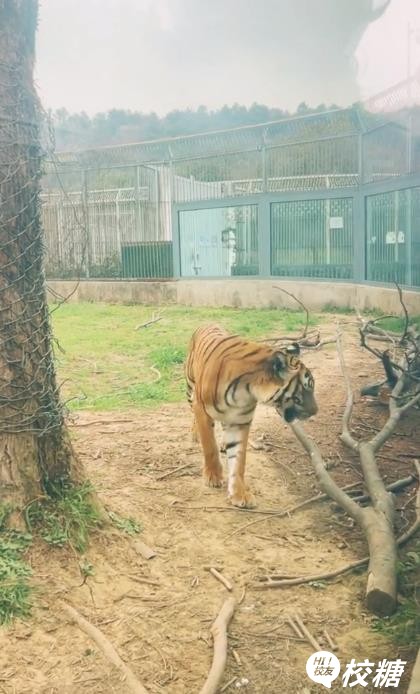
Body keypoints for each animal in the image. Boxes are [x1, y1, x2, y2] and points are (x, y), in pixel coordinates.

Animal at [185, 324, 317, 509]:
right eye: (306, 388)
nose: (316, 411)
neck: (246, 390)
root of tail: (208, 323)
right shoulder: (202, 409)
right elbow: (209, 446)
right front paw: (213, 477)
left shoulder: (240, 421)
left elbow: (238, 459)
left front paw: (239, 494)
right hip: (190, 388)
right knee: (193, 413)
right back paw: (195, 434)